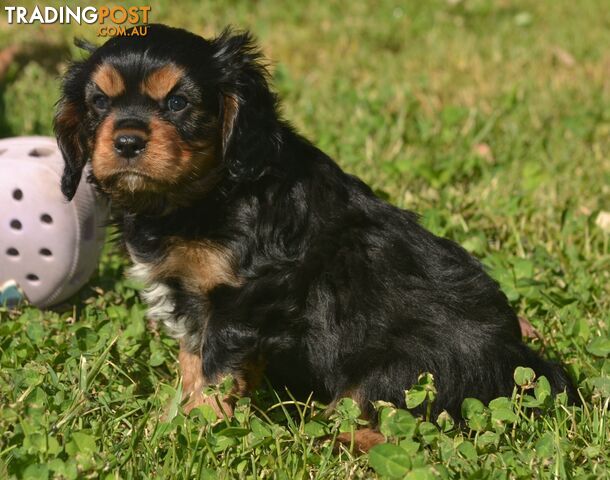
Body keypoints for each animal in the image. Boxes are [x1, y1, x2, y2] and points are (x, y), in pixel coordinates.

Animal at [54, 23, 572, 442]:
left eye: (178, 102)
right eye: (99, 102)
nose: (126, 140)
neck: (208, 193)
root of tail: (518, 360)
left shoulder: (243, 297)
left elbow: (215, 371)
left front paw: (200, 428)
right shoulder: (195, 301)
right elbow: (192, 362)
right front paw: (174, 420)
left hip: (402, 370)